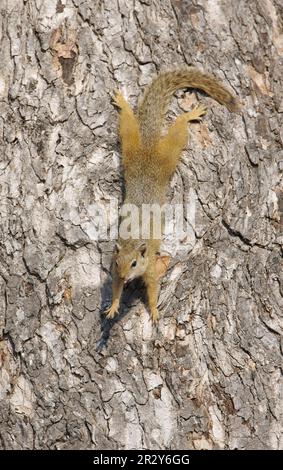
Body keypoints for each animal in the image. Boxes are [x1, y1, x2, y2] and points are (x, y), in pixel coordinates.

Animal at [105, 67, 241, 324]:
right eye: (118, 262)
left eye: (135, 263)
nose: (126, 276)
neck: (132, 242)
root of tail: (148, 150)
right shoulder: (114, 271)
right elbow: (115, 287)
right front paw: (114, 305)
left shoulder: (150, 267)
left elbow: (152, 288)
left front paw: (154, 310)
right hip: (130, 149)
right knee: (128, 124)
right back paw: (123, 103)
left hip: (167, 157)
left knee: (176, 132)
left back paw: (188, 116)